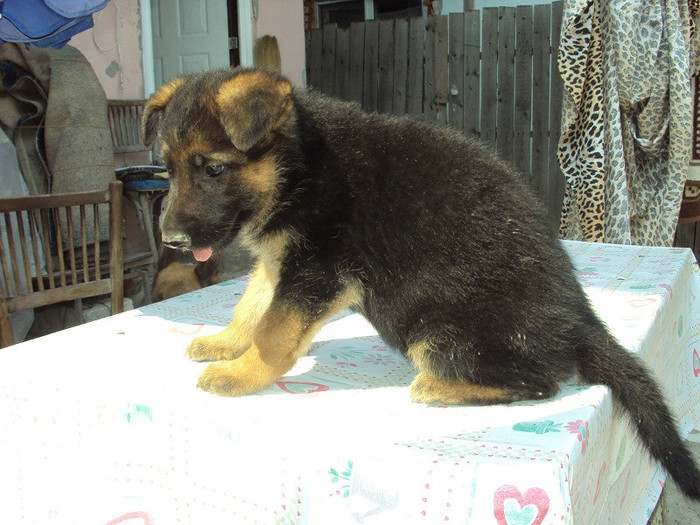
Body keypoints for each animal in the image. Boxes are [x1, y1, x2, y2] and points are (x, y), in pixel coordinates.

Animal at [142, 66, 700, 496]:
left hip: (437, 336)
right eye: (168, 170)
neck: (299, 165)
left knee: (538, 382)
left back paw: (440, 386)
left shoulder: (316, 268)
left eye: (214, 169)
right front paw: (226, 343)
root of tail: (580, 319)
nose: (171, 239)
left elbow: (275, 331)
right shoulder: (284, 262)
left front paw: (244, 373)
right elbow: (253, 306)